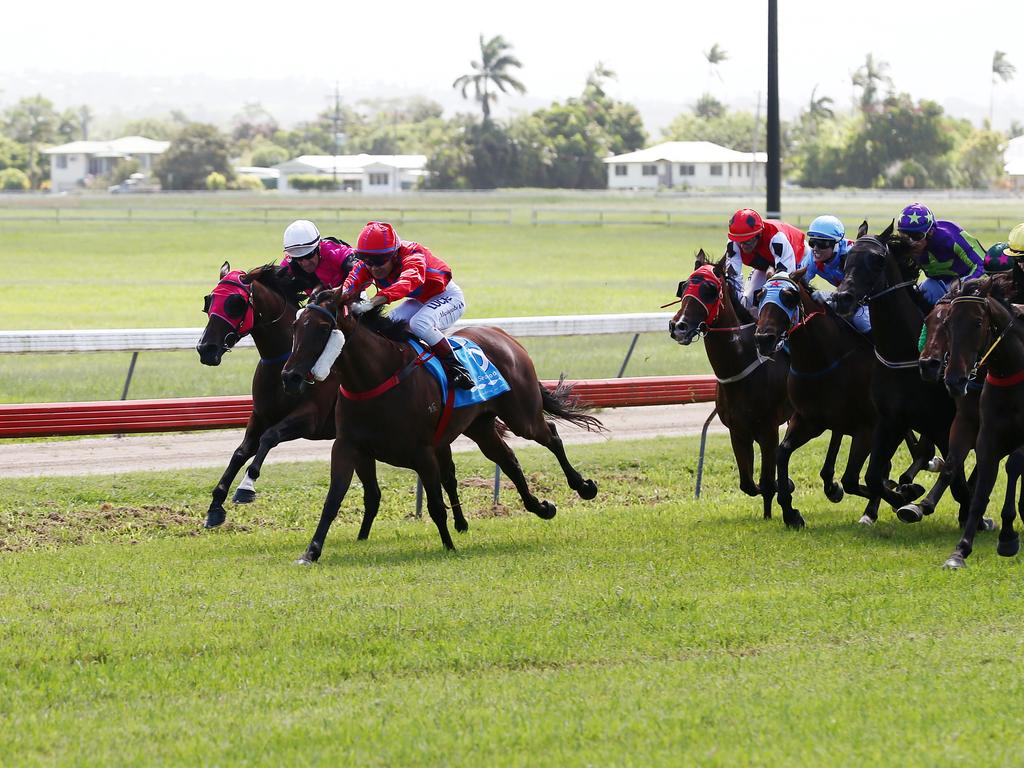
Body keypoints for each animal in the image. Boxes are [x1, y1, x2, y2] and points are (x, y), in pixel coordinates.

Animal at [193, 262, 466, 532]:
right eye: (209, 300)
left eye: (236, 303)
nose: (206, 348)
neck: (284, 358)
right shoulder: (261, 415)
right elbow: (241, 452)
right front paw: (215, 508)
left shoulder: (310, 418)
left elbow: (269, 438)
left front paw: (246, 487)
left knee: (448, 475)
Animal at [280, 288, 602, 565]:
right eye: (295, 326)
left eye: (324, 328)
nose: (290, 377)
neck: (375, 378)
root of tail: (503, 335)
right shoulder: (348, 446)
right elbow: (332, 499)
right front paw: (311, 552)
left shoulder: (423, 451)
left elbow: (435, 504)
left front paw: (448, 544)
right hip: (480, 427)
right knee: (508, 460)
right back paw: (541, 507)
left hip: (522, 415)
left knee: (551, 435)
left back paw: (584, 487)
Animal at [749, 268, 884, 528]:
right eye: (759, 296)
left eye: (789, 297)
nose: (763, 338)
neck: (823, 360)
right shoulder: (810, 420)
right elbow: (782, 452)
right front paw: (791, 513)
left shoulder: (869, 427)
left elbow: (856, 478)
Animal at [831, 225, 966, 520]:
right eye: (847, 259)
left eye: (878, 260)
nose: (843, 298)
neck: (905, 354)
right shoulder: (890, 421)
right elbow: (872, 476)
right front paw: (904, 495)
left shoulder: (943, 425)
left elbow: (956, 477)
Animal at [937, 280, 1024, 569]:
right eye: (947, 323)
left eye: (977, 323)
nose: (954, 380)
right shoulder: (988, 437)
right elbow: (980, 492)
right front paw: (960, 550)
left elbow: (1013, 466)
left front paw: (1007, 536)